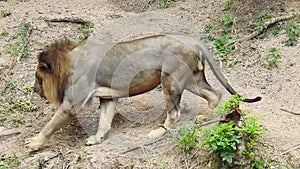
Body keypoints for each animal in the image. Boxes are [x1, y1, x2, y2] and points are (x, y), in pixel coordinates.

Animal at [26, 34, 260, 151]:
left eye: (38, 77)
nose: (34, 89)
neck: (69, 62)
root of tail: (193, 40)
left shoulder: (72, 103)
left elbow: (50, 125)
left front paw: (34, 143)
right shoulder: (107, 97)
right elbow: (104, 121)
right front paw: (97, 139)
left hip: (170, 78)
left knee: (174, 113)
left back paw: (158, 132)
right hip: (191, 79)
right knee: (215, 94)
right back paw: (205, 118)